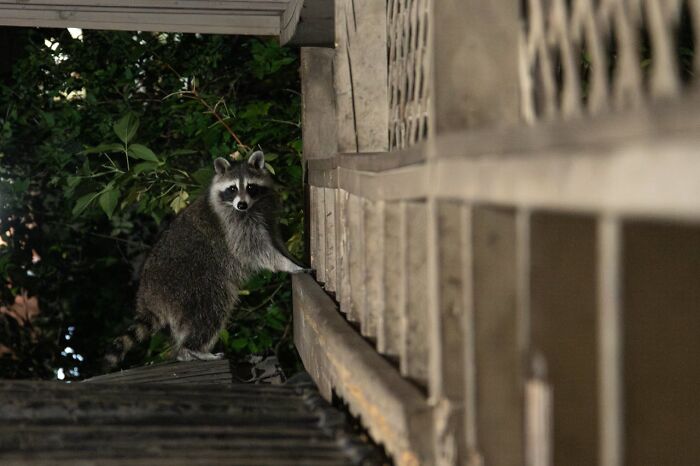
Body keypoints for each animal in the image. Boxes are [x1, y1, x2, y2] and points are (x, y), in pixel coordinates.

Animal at [104, 151, 307, 368]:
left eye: (251, 187)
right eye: (232, 189)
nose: (241, 204)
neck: (252, 207)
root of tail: (147, 297)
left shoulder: (267, 212)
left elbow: (275, 239)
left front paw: (291, 257)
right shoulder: (232, 225)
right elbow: (252, 249)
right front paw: (287, 264)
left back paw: (185, 352)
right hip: (192, 285)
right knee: (210, 311)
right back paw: (193, 349)